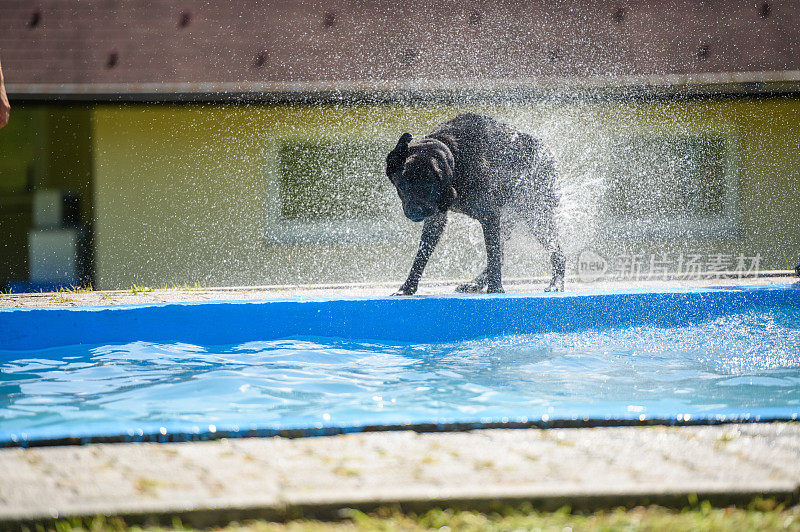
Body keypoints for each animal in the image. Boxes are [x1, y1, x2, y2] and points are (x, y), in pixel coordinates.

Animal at [386, 112, 564, 296]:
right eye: (402, 186)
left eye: (429, 186)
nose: (415, 211)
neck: (458, 159)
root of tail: (548, 152)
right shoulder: (435, 220)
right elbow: (421, 256)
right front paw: (407, 287)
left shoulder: (489, 215)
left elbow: (492, 256)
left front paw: (495, 288)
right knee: (502, 256)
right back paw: (475, 283)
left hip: (536, 216)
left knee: (557, 253)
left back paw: (556, 283)